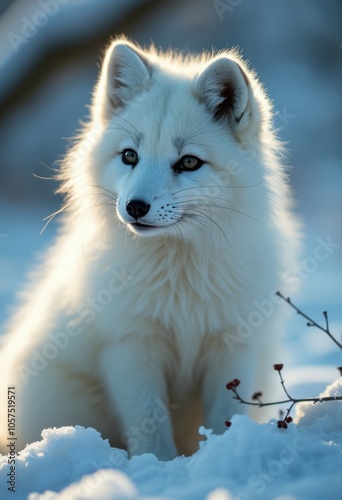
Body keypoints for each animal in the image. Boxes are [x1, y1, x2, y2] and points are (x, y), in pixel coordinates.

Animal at [0, 39, 300, 460]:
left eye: (189, 162)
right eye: (130, 156)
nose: (135, 207)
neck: (180, 272)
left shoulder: (231, 344)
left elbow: (224, 418)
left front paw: (220, 455)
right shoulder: (131, 346)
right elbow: (149, 425)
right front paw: (157, 464)